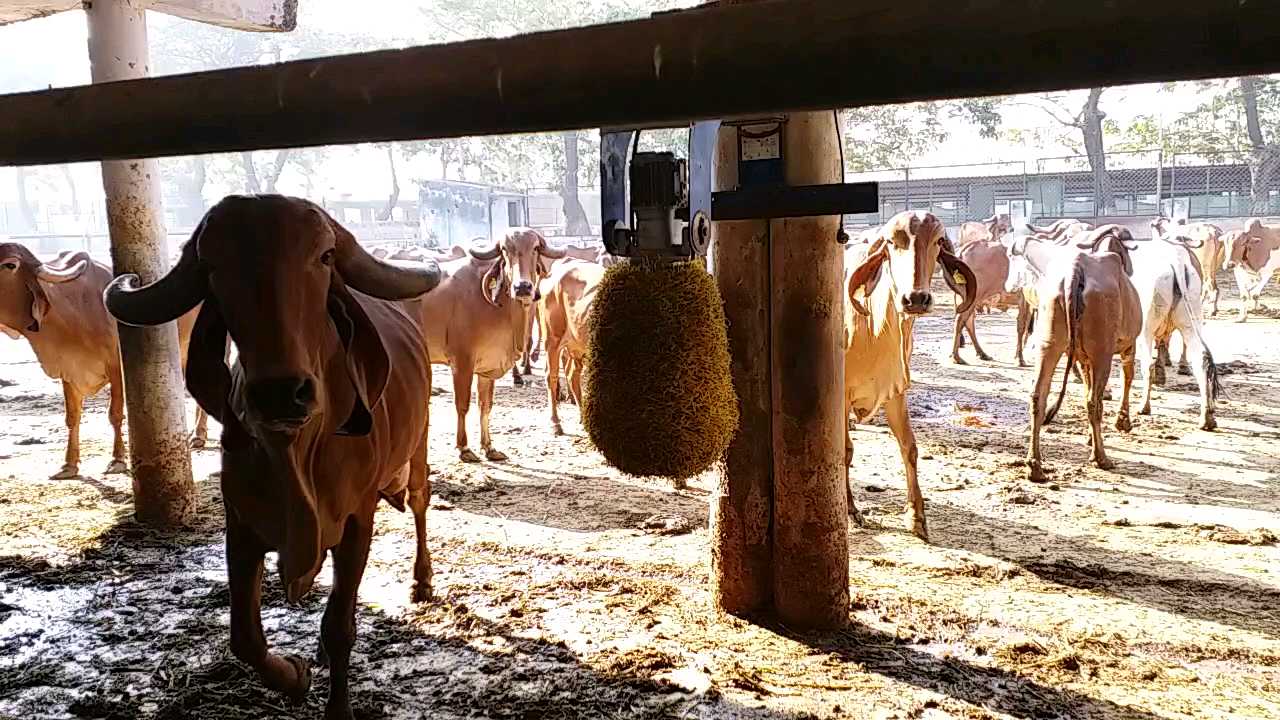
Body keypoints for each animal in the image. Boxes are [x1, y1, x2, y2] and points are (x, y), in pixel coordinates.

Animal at [0, 242, 212, 476]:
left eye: (10, 265)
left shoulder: (116, 367)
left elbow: (115, 414)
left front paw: (117, 459)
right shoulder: (69, 371)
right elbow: (72, 417)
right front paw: (69, 464)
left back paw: (199, 435)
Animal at [101, 193, 440, 717]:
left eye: (325, 256)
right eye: (212, 266)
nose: (282, 394)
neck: (297, 452)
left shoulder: (356, 524)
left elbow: (339, 627)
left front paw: (336, 704)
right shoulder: (240, 527)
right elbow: (245, 637)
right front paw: (295, 676)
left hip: (418, 447)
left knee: (421, 502)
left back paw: (422, 580)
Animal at [422, 225, 563, 458]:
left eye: (535, 248)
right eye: (505, 249)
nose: (522, 287)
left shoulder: (487, 366)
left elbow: (485, 405)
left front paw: (488, 446)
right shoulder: (461, 362)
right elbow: (463, 405)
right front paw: (464, 447)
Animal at [1024, 226, 1146, 479]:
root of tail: (1075, 271)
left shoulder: (1083, 358)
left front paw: (1091, 436)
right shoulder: (1129, 344)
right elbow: (1128, 376)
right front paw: (1123, 421)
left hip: (1049, 340)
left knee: (1038, 395)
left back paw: (1035, 466)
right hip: (1102, 350)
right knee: (1094, 401)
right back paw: (1101, 458)